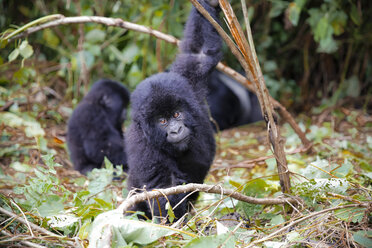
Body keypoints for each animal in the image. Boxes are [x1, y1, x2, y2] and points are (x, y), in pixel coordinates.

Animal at [126, 0, 222, 221]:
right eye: (162, 121)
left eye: (177, 114)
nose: (176, 130)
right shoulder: (142, 145)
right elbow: (165, 188)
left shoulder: (188, 83)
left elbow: (199, 53)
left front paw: (208, 4)